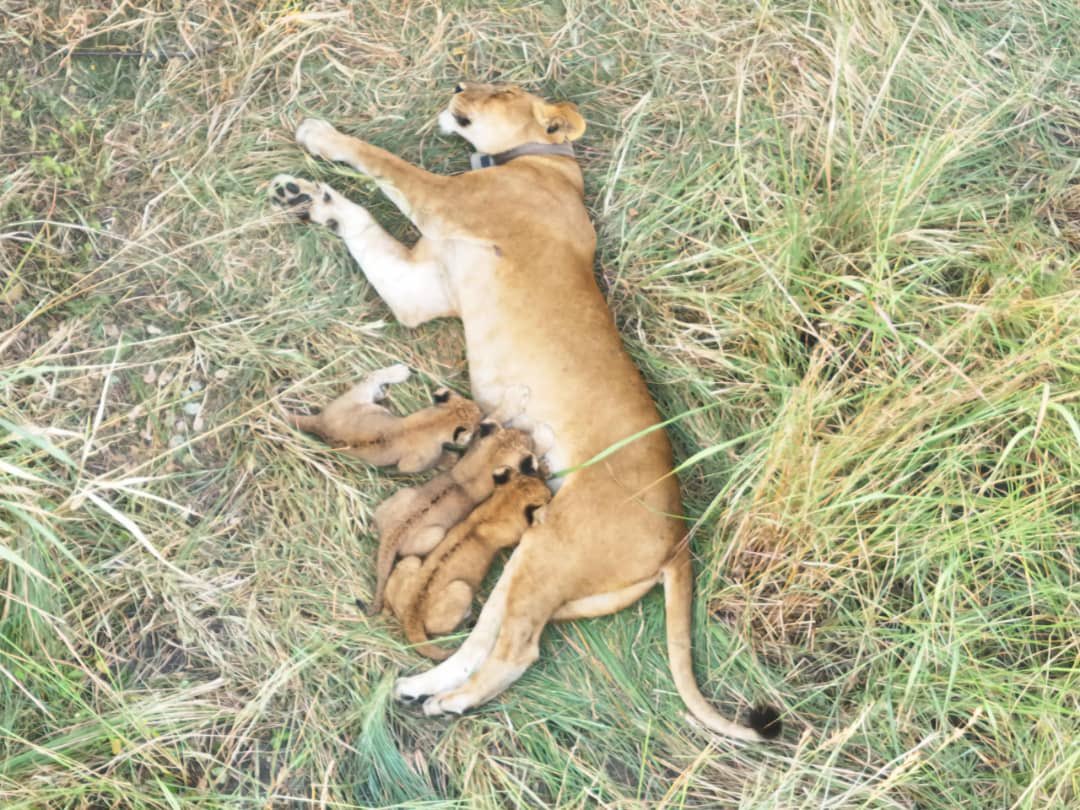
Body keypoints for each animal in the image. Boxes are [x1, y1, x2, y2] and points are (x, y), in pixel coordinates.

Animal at [288, 364, 483, 473]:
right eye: (477, 425)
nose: (481, 410)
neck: (438, 421)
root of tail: (319, 421)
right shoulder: (411, 463)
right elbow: (432, 462)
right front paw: (449, 459)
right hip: (360, 395)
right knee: (371, 377)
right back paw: (399, 371)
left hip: (358, 399)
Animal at [385, 466, 552, 660]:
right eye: (548, 494)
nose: (549, 484)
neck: (502, 505)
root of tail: (412, 613)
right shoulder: (514, 535)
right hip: (462, 589)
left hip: (411, 561)